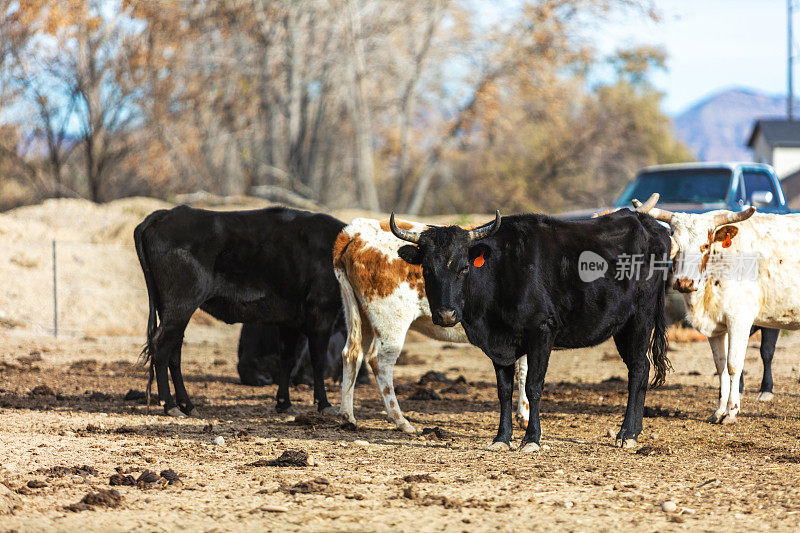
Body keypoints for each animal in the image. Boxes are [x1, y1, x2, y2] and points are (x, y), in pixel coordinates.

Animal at [134, 204, 344, 416]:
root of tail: (167, 213)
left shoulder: (290, 321)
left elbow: (287, 359)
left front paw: (284, 403)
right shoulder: (322, 312)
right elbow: (318, 360)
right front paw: (325, 404)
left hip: (171, 310)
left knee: (174, 351)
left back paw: (187, 406)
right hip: (180, 306)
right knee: (161, 346)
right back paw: (170, 405)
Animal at [332, 217, 528, 432]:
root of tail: (356, 231)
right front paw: (525, 416)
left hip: (359, 315)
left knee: (352, 353)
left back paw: (347, 416)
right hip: (391, 320)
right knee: (380, 361)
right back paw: (400, 420)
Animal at [390, 206, 672, 450]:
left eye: (464, 267)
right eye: (427, 269)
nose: (446, 314)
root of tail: (646, 222)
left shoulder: (542, 332)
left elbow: (533, 386)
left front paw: (532, 439)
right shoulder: (499, 345)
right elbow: (504, 391)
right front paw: (502, 438)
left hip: (641, 317)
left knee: (638, 370)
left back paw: (627, 434)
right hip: (623, 327)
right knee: (641, 369)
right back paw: (634, 432)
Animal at [636, 192, 796, 424]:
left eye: (705, 245)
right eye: (676, 245)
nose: (684, 283)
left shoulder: (740, 320)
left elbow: (734, 365)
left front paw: (732, 412)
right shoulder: (716, 328)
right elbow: (721, 366)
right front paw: (720, 411)